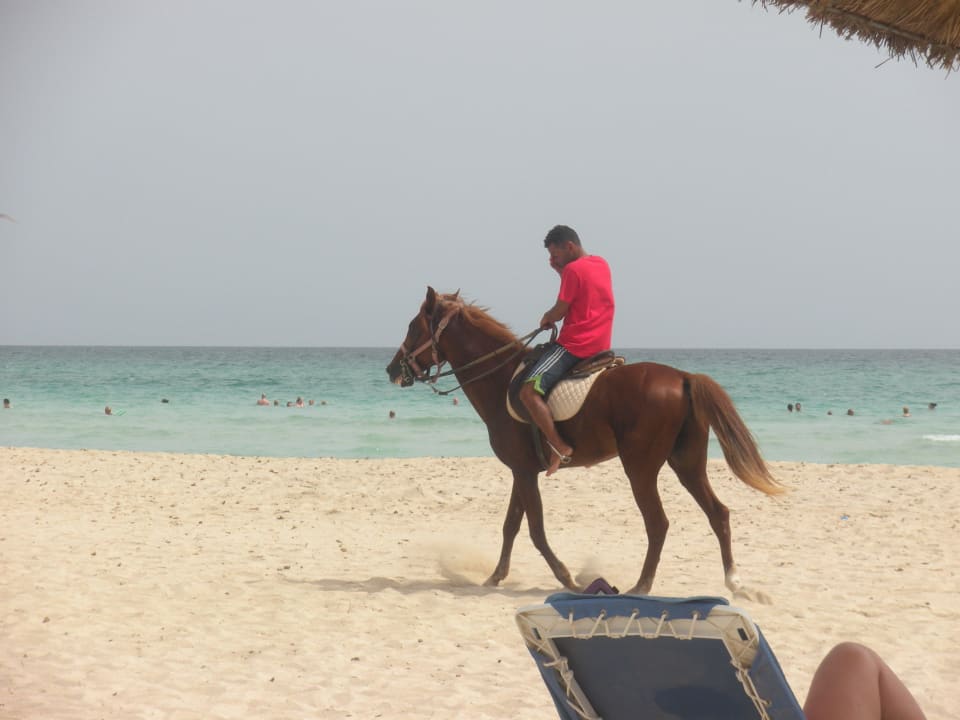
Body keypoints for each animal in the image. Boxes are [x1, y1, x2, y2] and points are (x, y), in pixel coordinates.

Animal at [386, 287, 784, 595]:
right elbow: (511, 525)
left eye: (412, 326)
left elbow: (535, 530)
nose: (391, 370)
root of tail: (683, 377)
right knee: (718, 513)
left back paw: (642, 586)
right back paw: (734, 582)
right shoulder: (521, 471)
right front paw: (495, 576)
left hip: (641, 468)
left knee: (658, 523)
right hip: (687, 463)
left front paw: (567, 579)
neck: (501, 379)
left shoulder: (524, 473)